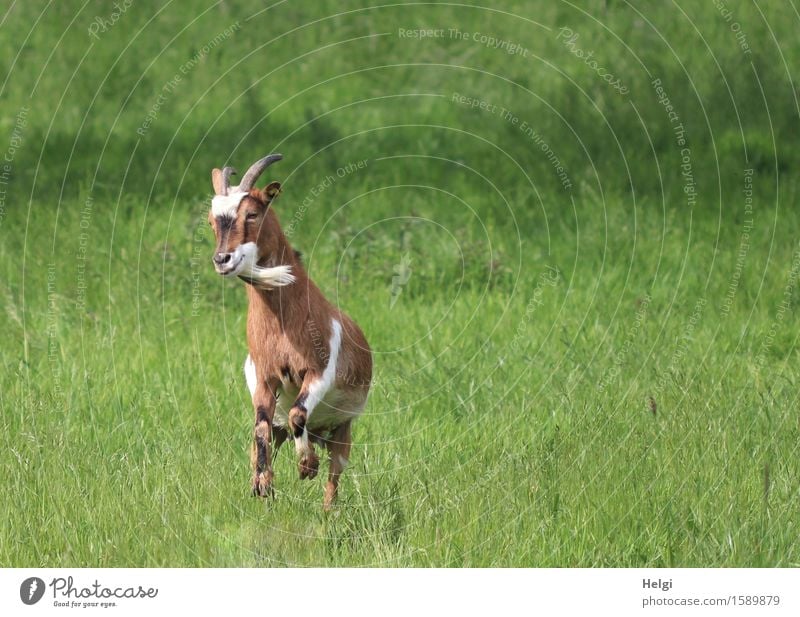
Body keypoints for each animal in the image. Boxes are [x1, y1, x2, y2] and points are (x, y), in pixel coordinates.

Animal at [209, 152, 376, 508]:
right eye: (211, 220)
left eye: (253, 213)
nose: (222, 259)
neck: (284, 326)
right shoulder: (264, 378)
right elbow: (260, 428)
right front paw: (262, 485)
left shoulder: (318, 370)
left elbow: (299, 413)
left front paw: (306, 466)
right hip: (287, 426)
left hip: (342, 427)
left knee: (334, 473)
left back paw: (327, 510)